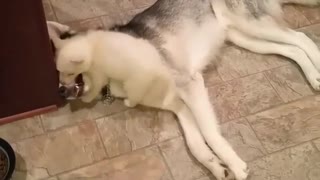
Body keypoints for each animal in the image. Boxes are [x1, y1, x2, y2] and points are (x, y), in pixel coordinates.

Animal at [47, 0, 320, 180]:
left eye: (63, 69)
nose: (59, 92)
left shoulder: (190, 84)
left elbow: (210, 134)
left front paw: (234, 165)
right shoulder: (178, 105)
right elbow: (195, 144)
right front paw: (215, 166)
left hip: (251, 26)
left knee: (301, 37)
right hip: (245, 38)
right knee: (292, 48)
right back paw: (313, 74)